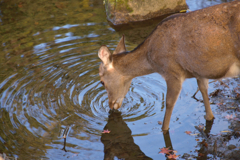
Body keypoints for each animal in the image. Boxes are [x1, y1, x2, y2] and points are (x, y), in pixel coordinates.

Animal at [97, 0, 240, 132]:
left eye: (102, 82)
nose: (111, 105)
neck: (152, 59)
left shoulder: (173, 72)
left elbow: (169, 104)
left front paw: (164, 129)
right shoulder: (199, 71)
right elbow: (204, 94)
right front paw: (209, 116)